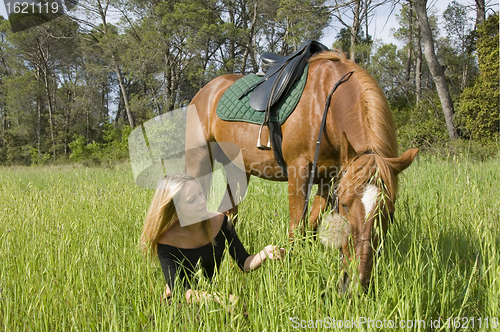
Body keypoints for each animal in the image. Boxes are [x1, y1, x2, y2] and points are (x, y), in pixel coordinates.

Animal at [186, 50, 416, 290]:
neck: (327, 105)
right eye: (344, 205)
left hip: (237, 169)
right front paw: (291, 276)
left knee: (230, 214)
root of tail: (206, 90)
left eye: (389, 211)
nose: (356, 282)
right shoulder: (299, 171)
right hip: (198, 162)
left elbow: (312, 225)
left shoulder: (329, 178)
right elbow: (296, 228)